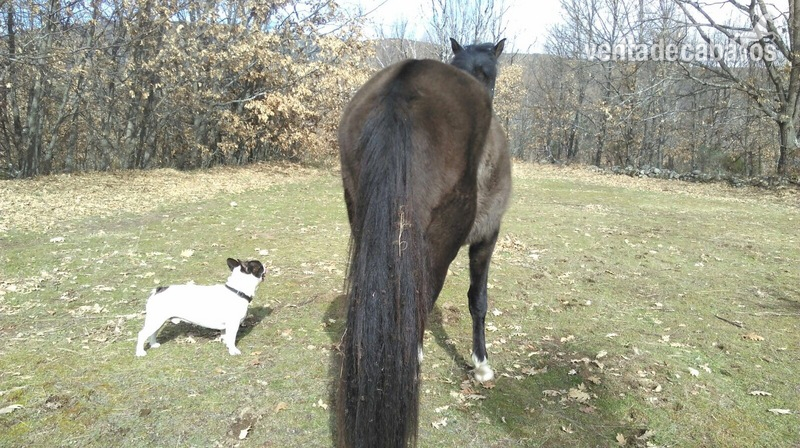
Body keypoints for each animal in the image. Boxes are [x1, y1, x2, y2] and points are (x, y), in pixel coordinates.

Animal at [336, 37, 511, 448]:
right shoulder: (488, 235)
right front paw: (482, 365)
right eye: (492, 74)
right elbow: (478, 301)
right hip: (440, 242)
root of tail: (404, 81)